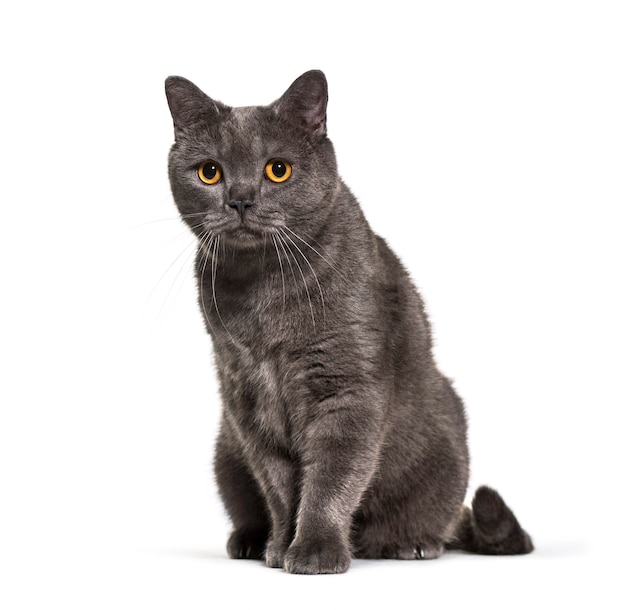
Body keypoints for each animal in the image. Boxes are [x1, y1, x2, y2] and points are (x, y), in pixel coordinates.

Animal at [163, 69, 528, 572]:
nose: (240, 200)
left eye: (278, 169)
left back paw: (410, 542)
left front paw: (314, 551)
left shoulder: (347, 388)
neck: (264, 290)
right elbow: (279, 484)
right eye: (209, 172)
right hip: (226, 450)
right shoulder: (245, 395)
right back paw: (250, 541)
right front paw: (280, 547)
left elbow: (333, 477)